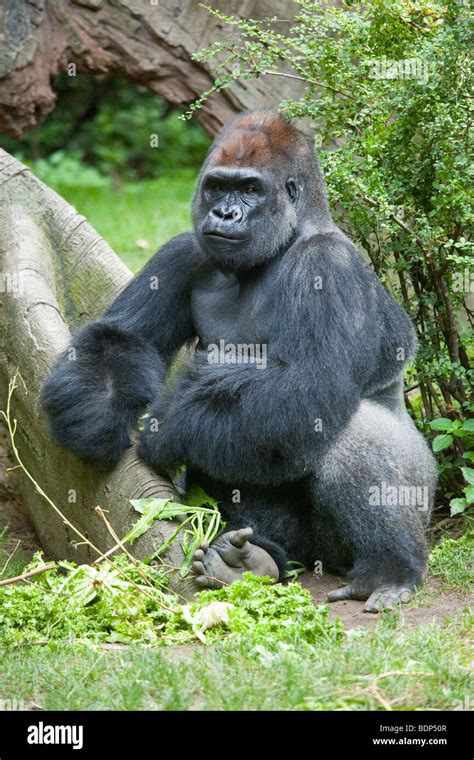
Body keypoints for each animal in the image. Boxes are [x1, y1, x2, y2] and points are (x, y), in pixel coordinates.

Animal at [41, 111, 436, 612]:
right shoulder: (185, 249)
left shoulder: (330, 267)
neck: (282, 244)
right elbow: (123, 337)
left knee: (355, 433)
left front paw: (165, 430)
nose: (224, 213)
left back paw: (389, 567)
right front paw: (97, 416)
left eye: (250, 189)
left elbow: (307, 385)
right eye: (216, 187)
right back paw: (252, 563)